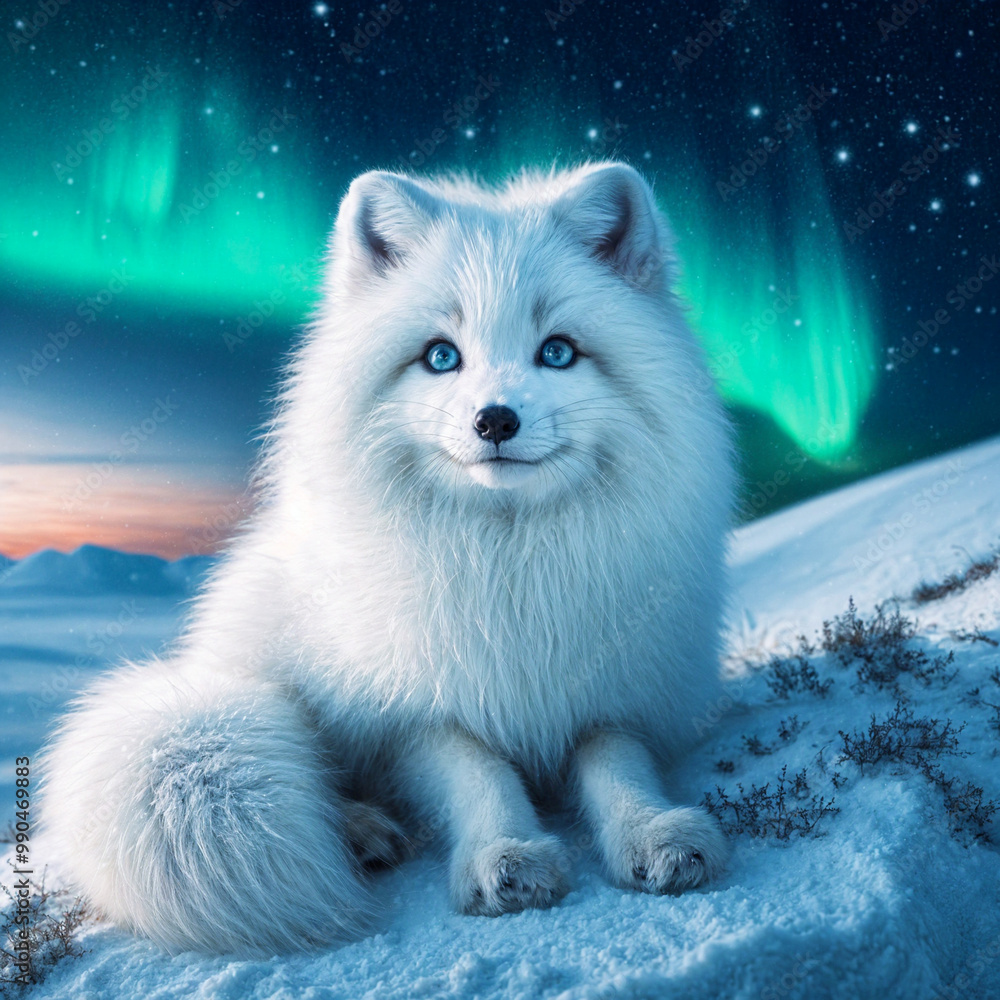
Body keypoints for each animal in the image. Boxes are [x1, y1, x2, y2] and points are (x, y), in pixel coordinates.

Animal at [41, 161, 735, 956]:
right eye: (441, 356)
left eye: (557, 350)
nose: (494, 420)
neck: (507, 566)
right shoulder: (414, 715)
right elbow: (478, 776)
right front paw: (505, 856)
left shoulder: (615, 693)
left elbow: (615, 763)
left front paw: (655, 834)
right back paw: (357, 830)